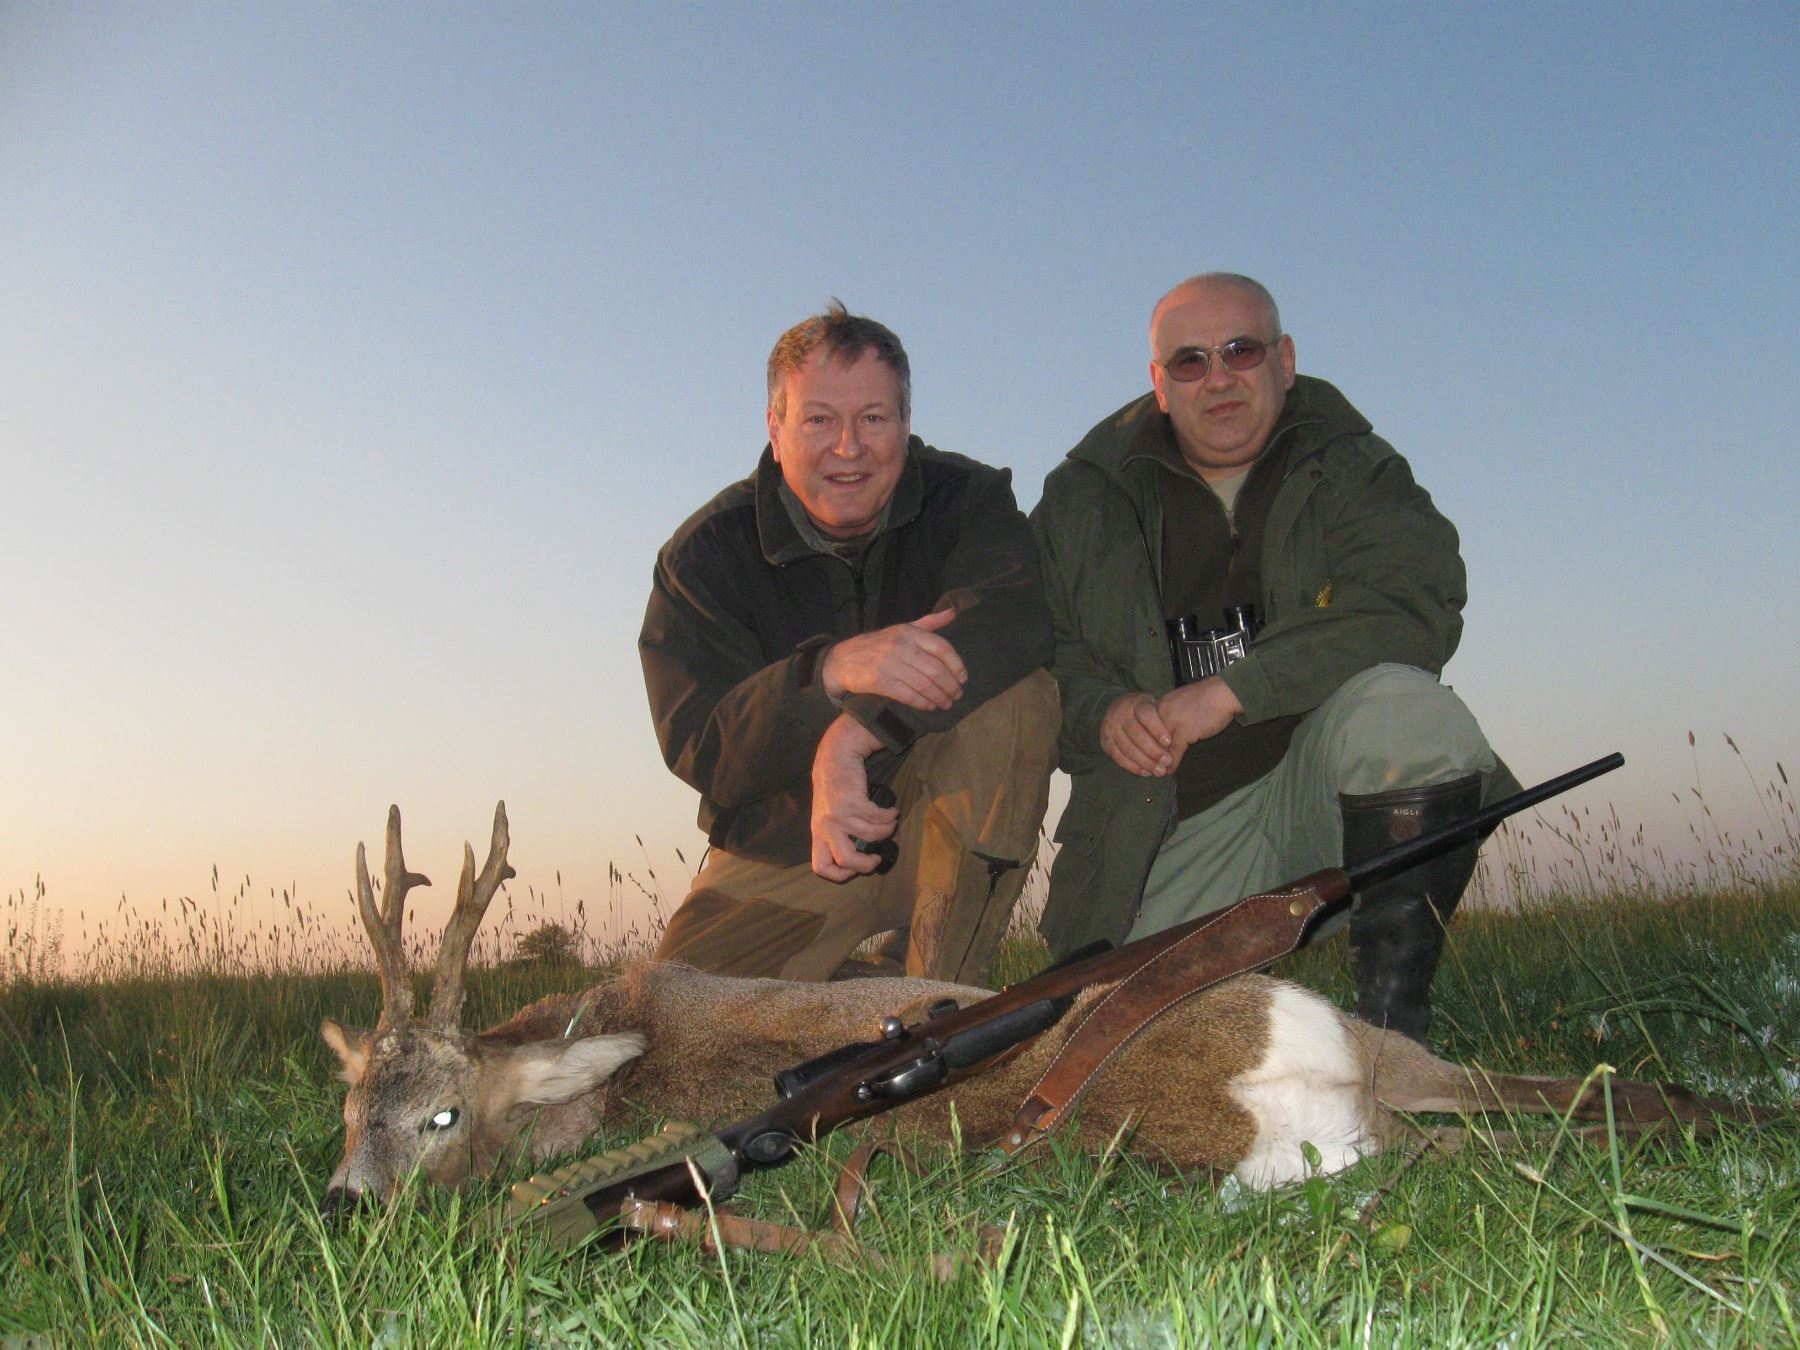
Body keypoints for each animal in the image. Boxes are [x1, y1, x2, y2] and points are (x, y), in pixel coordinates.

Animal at [320, 802, 1777, 1215]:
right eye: (351, 1105)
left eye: (438, 1114)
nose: (339, 1201)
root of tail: (1291, 1086)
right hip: (1393, 1066)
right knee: (1543, 1117)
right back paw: (1723, 1119)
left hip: (1388, 1064)